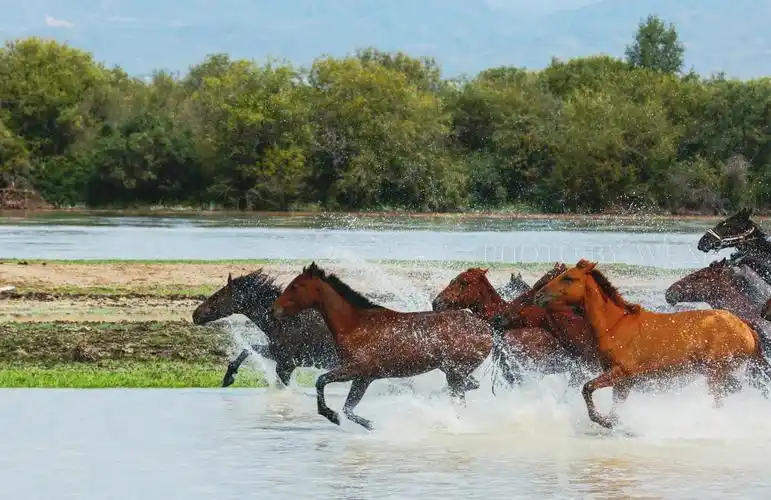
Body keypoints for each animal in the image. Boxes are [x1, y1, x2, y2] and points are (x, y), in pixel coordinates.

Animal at [192, 269, 339, 387]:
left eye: (217, 296)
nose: (195, 314)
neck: (285, 323)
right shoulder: (276, 354)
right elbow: (248, 349)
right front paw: (228, 378)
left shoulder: (287, 364)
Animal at [271, 262, 494, 430]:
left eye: (294, 286)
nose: (274, 309)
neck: (355, 326)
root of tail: (487, 329)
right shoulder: (363, 378)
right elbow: (348, 408)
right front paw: (367, 424)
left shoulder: (357, 371)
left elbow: (322, 382)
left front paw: (332, 415)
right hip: (454, 371)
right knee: (466, 389)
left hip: (454, 372)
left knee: (461, 396)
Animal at [534, 259, 771, 430]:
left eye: (568, 278)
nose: (537, 296)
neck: (615, 326)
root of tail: (746, 327)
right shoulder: (623, 383)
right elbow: (615, 406)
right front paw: (616, 422)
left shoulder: (620, 373)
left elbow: (587, 388)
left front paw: (605, 421)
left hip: (717, 372)